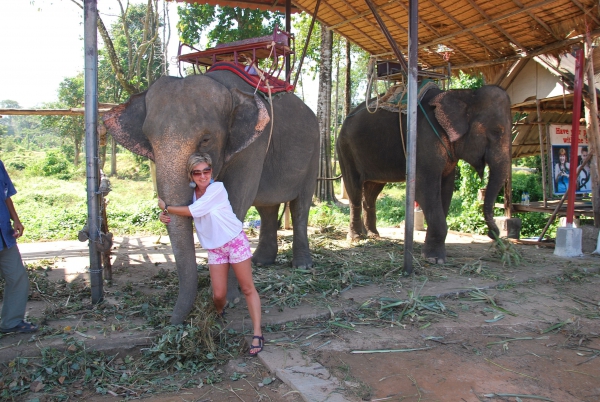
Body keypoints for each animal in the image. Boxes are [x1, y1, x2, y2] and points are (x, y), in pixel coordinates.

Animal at [103, 70, 322, 326]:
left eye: (206, 139)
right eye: (149, 139)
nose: (170, 322)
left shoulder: (253, 146)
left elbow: (237, 199)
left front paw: (229, 300)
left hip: (314, 153)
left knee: (300, 205)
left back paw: (302, 266)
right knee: (266, 207)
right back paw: (260, 262)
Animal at [338, 85, 510, 264]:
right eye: (496, 132)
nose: (494, 236)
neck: (464, 93)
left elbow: (445, 191)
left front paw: (431, 253)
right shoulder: (425, 140)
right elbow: (424, 189)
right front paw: (434, 259)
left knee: (372, 191)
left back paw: (373, 235)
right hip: (345, 149)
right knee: (354, 189)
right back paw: (356, 238)